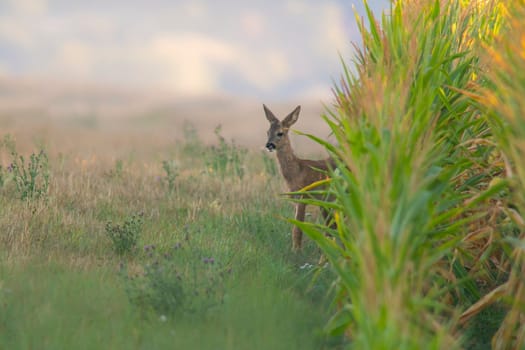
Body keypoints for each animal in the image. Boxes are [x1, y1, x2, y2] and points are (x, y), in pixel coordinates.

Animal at [262, 104, 336, 252]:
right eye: (267, 132)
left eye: (280, 133)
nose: (269, 145)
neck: (296, 171)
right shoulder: (295, 199)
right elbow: (295, 227)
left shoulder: (303, 195)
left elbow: (298, 228)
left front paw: (296, 251)